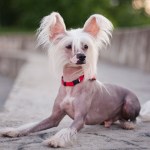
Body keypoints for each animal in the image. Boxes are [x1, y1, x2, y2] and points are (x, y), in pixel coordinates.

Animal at [0, 11, 150, 148]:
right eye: (68, 46)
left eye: (86, 46)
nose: (82, 56)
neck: (71, 83)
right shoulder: (54, 117)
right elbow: (33, 125)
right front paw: (13, 131)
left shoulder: (80, 119)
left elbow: (67, 129)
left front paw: (56, 140)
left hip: (129, 103)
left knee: (134, 119)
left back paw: (128, 124)